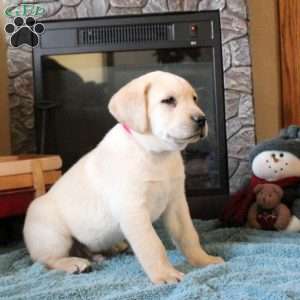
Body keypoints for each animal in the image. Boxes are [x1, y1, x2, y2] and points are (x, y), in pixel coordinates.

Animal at [23, 71, 224, 284]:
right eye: (169, 100)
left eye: (194, 99)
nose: (202, 119)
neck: (154, 153)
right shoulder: (133, 209)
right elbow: (152, 244)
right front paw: (165, 274)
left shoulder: (176, 202)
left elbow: (188, 235)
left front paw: (204, 260)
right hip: (53, 235)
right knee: (47, 261)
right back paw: (75, 263)